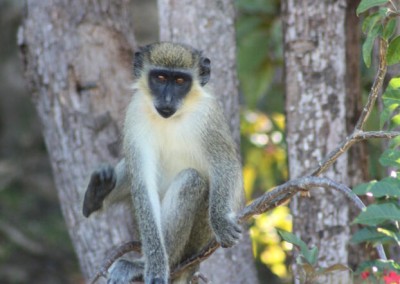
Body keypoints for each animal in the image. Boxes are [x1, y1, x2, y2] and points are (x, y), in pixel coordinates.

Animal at [82, 42, 242, 284]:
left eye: (180, 81)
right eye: (160, 77)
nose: (167, 100)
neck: (173, 117)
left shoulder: (208, 115)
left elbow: (225, 164)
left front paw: (221, 220)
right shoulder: (135, 114)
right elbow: (142, 186)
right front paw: (155, 266)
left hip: (198, 238)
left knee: (190, 180)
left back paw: (144, 265)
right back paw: (96, 194)